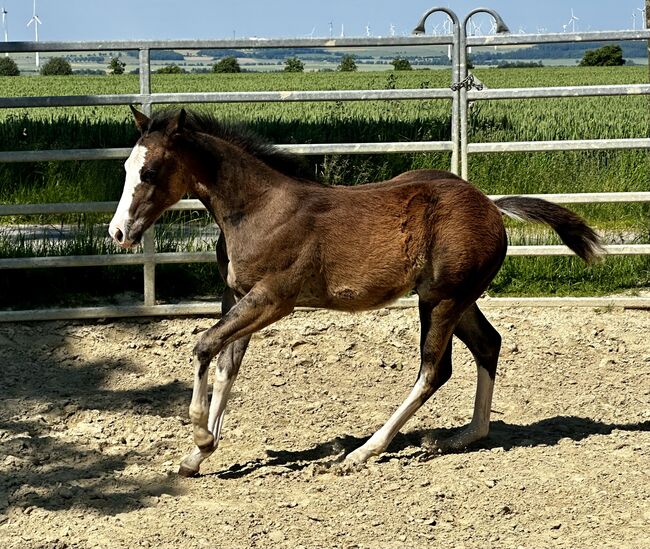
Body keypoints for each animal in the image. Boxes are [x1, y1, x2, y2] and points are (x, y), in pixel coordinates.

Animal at [109, 107, 600, 476]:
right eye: (127, 168)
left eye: (149, 172)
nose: (118, 233)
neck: (258, 209)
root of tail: (491, 206)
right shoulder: (239, 296)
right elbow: (226, 365)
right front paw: (197, 455)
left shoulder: (274, 300)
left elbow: (203, 345)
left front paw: (200, 436)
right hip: (455, 298)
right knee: (489, 344)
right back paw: (463, 436)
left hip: (441, 299)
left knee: (433, 370)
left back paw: (365, 450)